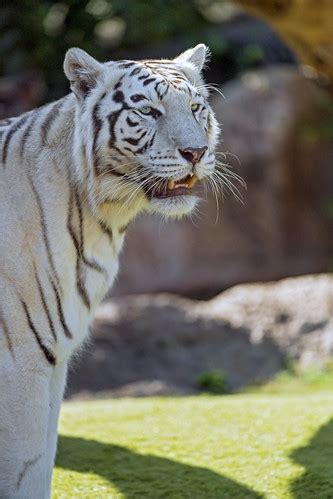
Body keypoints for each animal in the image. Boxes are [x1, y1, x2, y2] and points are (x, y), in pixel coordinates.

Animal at [0, 45, 218, 498]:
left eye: (195, 107)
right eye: (149, 110)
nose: (196, 152)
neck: (100, 217)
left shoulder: (53, 356)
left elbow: (42, 460)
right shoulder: (20, 361)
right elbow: (24, 468)